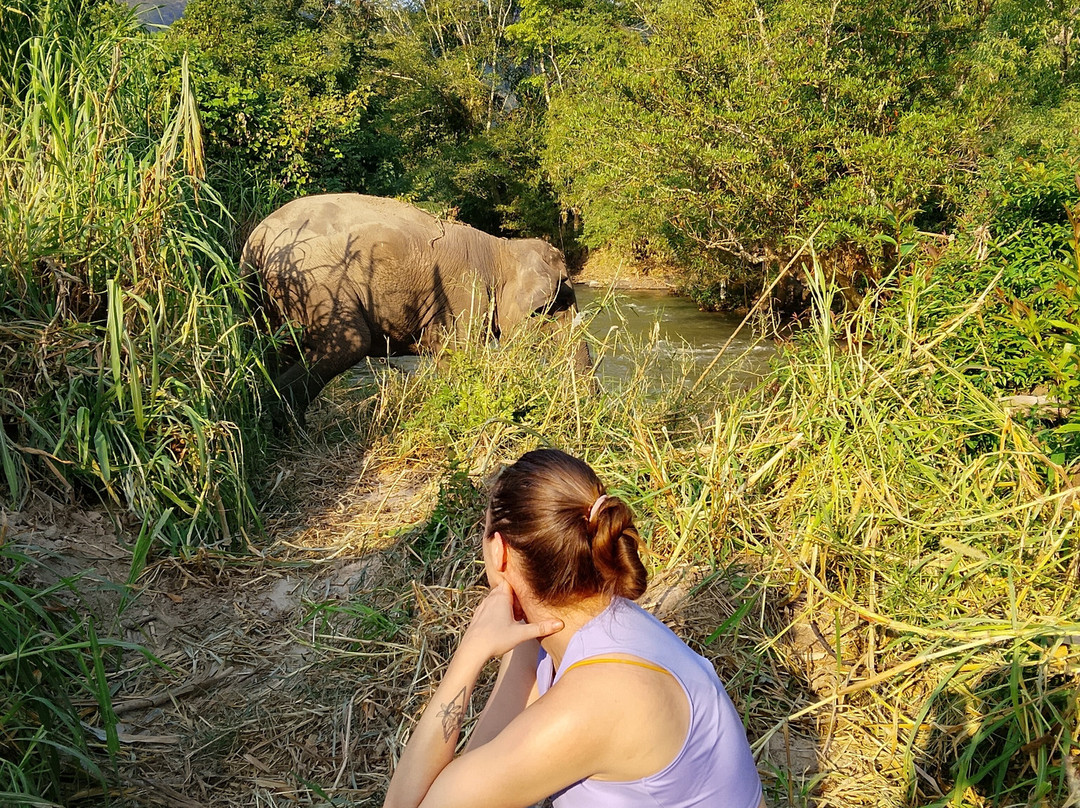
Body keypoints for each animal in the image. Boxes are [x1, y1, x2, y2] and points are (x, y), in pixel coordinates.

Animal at [241, 193, 582, 421]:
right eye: (559, 305)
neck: (501, 248)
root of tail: (252, 244)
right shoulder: (465, 293)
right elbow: (462, 354)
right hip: (315, 280)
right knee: (349, 342)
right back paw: (279, 415)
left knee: (284, 350)